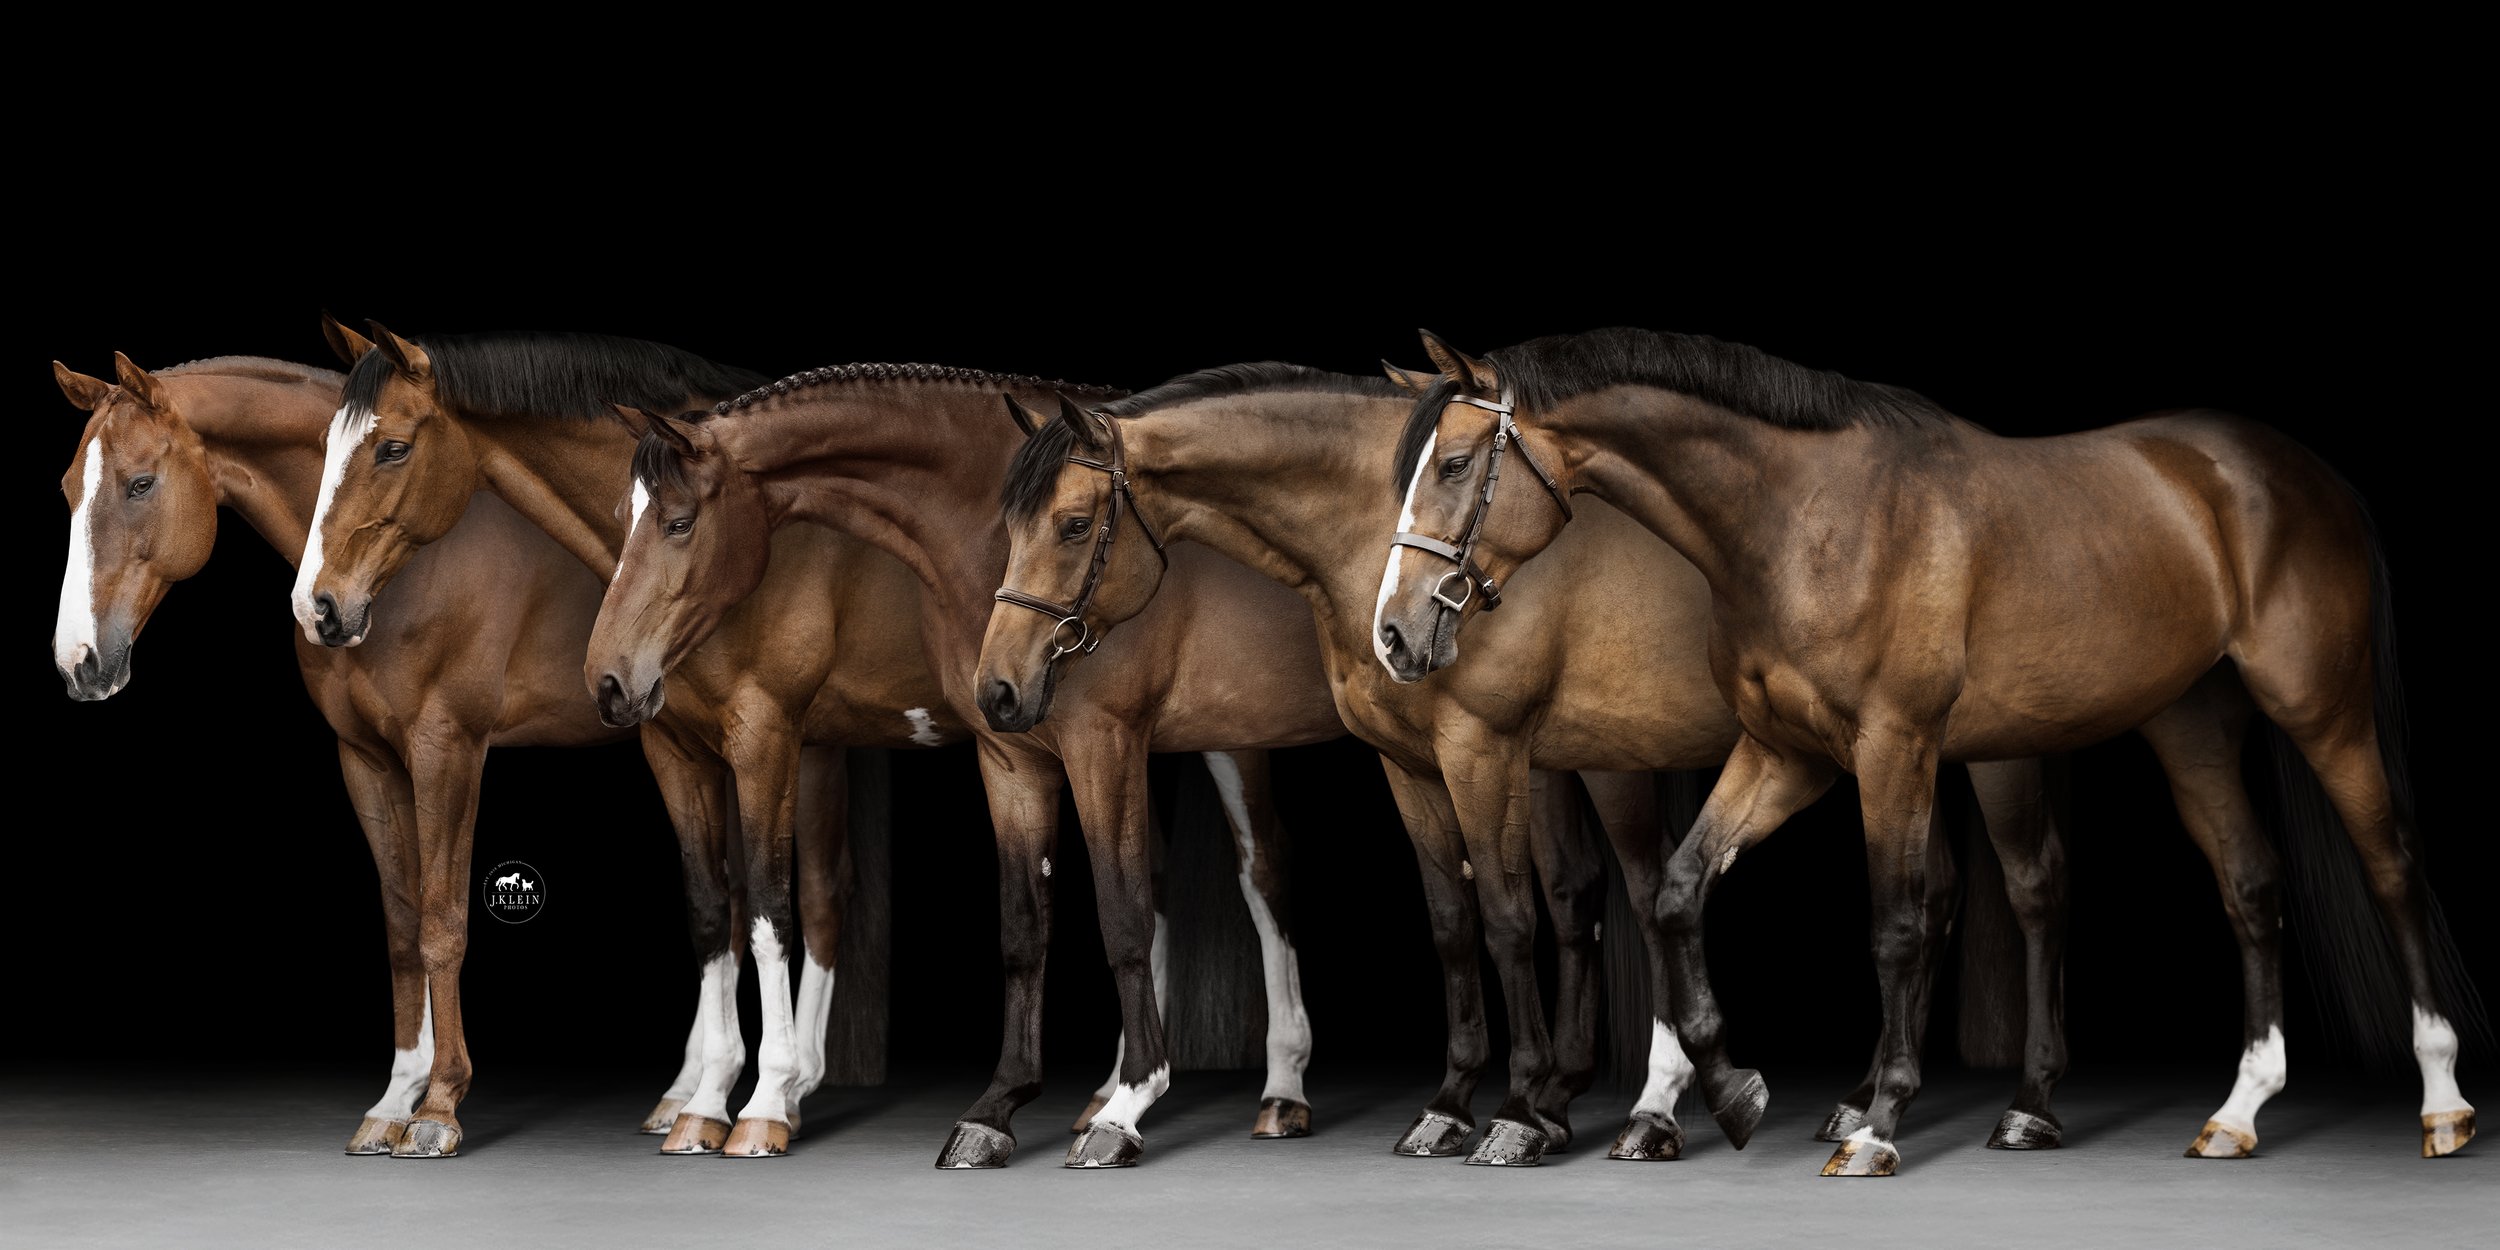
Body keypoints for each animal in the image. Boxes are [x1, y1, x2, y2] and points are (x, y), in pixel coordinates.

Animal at [44, 349, 855, 1158]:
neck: (407, 572)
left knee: (809, 899)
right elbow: (403, 924)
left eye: (139, 484)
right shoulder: (365, 760)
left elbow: (443, 921)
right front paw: (394, 1098)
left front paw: (438, 1106)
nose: (79, 662)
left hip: (790, 745)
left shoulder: (448, 747)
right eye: (68, 492)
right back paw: (694, 1096)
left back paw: (780, 1095)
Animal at [591, 363, 1390, 1169]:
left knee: (1265, 875)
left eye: (679, 522)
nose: (607, 680)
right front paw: (998, 1110)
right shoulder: (1006, 752)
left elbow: (1122, 912)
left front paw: (1130, 1107)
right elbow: (1022, 924)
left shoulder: (1099, 742)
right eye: (624, 518)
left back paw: (1282, 1090)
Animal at [979, 365, 2064, 1165]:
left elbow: (1513, 915)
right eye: (1009, 526)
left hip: (1982, 751)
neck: (1377, 535)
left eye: (1071, 524)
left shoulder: (1489, 747)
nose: (998, 690)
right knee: (1934, 889)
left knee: (2025, 887)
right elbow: (1459, 920)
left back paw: (2022, 1105)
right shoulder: (1412, 763)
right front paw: (1462, 1100)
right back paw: (1856, 1100)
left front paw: (1522, 1109)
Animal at [1373, 327, 2486, 1172]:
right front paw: (1734, 1091)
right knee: (2251, 887)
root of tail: (2301, 471)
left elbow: (1898, 923)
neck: (1802, 520)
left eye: (1457, 465)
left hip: (2322, 710)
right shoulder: (1788, 752)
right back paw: (2238, 1110)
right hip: (2194, 725)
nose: (1395, 635)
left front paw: (1876, 1123)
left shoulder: (1892, 748)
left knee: (2391, 867)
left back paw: (2442, 1101)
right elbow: (1682, 891)